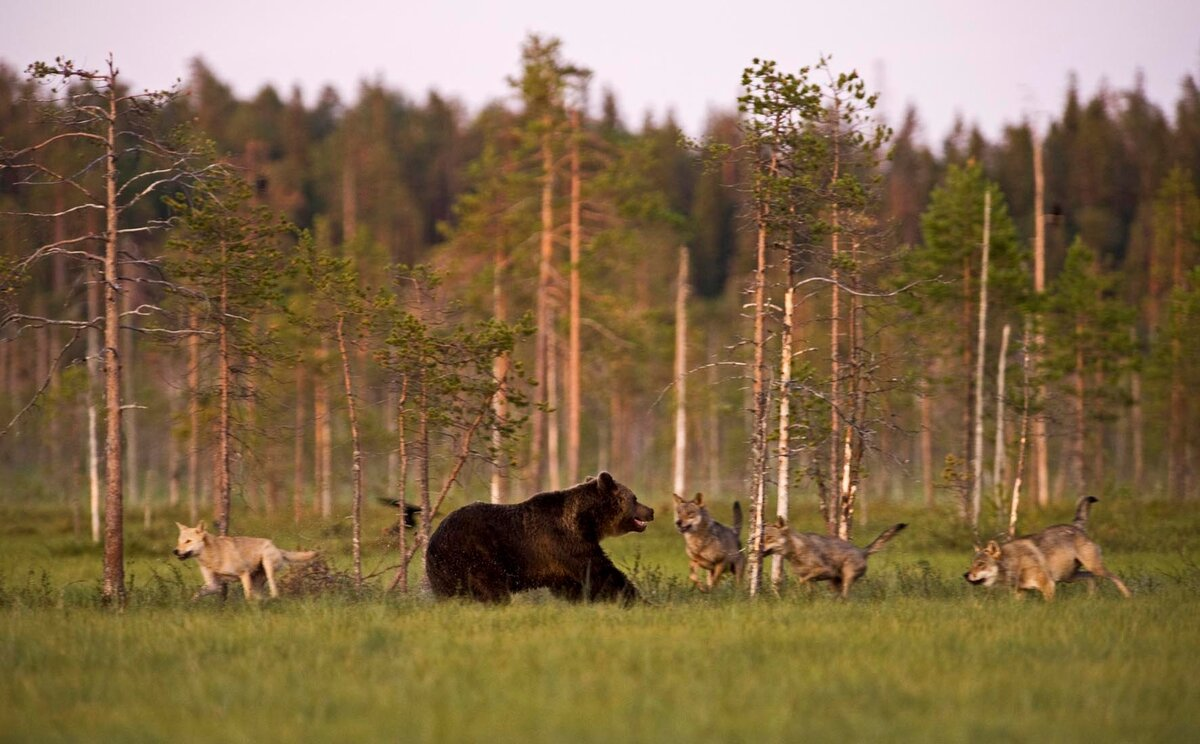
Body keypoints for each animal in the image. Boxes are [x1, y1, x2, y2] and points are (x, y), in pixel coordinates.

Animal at [172, 520, 319, 602]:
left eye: (188, 541)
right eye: (179, 541)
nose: (175, 551)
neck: (213, 556)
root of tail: (276, 547)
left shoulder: (243, 574)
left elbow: (247, 596)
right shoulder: (213, 585)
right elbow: (197, 594)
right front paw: (190, 605)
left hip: (267, 567)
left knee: (274, 591)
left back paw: (272, 599)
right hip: (258, 580)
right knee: (262, 596)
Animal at [758, 518, 907, 597]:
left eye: (769, 538)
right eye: (762, 538)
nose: (757, 549)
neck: (796, 551)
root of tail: (862, 550)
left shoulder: (825, 570)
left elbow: (801, 581)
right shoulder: (811, 578)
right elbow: (806, 583)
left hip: (847, 577)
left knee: (846, 595)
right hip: (836, 582)